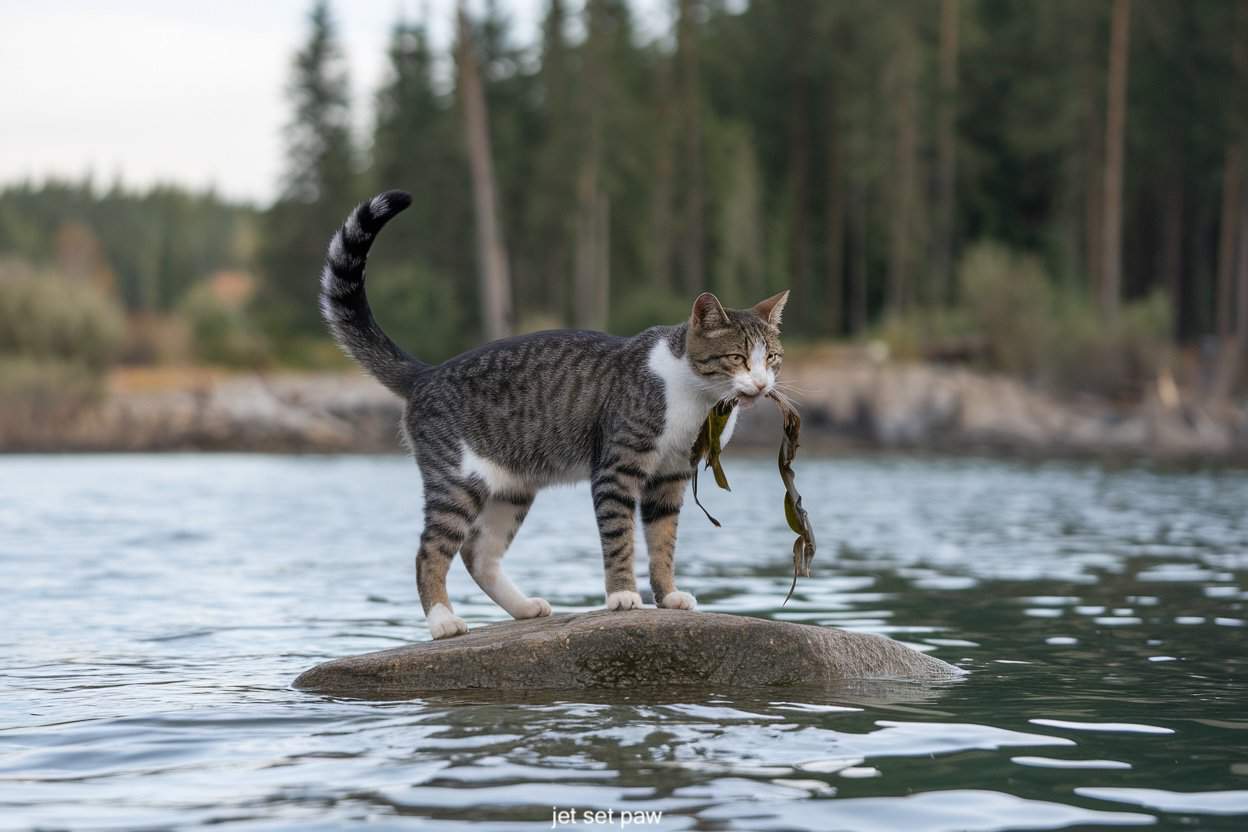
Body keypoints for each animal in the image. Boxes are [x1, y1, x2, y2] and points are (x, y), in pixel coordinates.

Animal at [321, 192, 788, 643]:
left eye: (773, 359)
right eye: (737, 358)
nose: (762, 384)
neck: (695, 399)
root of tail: (426, 373)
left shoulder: (670, 477)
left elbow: (663, 543)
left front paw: (669, 596)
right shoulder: (617, 469)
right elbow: (620, 538)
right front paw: (623, 596)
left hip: (511, 490)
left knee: (478, 554)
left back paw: (524, 608)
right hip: (457, 481)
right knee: (429, 551)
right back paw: (443, 621)